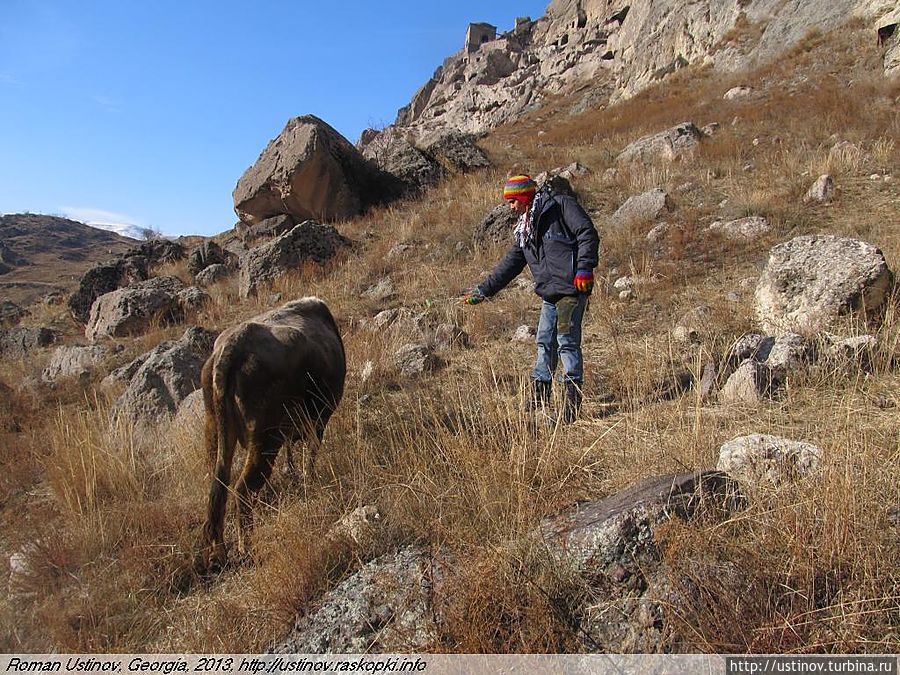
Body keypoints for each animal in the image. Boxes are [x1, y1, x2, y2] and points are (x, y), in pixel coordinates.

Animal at [195, 296, 346, 572]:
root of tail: (231, 348)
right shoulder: (317, 420)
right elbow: (310, 455)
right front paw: (309, 479)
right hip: (264, 440)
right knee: (242, 490)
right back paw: (246, 549)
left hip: (215, 433)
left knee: (218, 490)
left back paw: (218, 554)